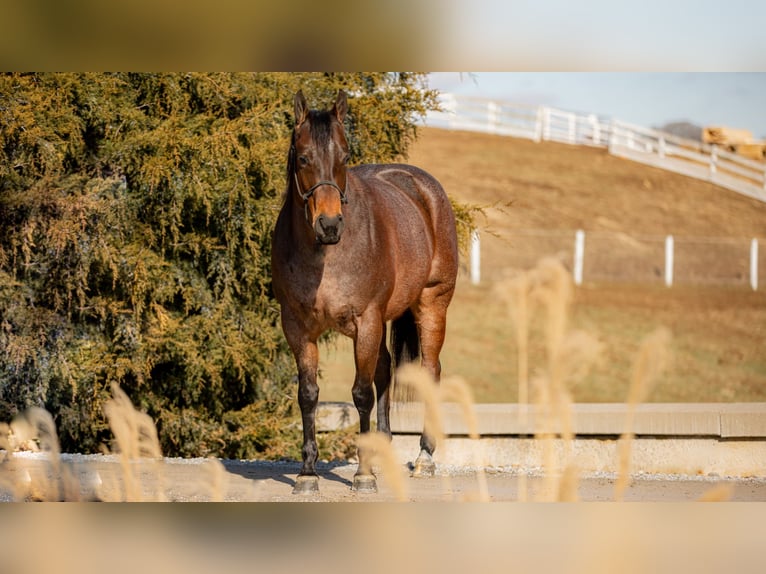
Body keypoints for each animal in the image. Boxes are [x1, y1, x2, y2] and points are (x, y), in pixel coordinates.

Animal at [272, 91, 460, 496]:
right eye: (304, 157)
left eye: (344, 156)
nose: (329, 225)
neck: (324, 256)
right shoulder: (297, 327)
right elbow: (308, 393)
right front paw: (307, 473)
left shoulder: (366, 321)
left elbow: (361, 393)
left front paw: (363, 475)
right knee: (386, 369)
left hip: (431, 305)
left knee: (429, 371)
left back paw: (425, 457)